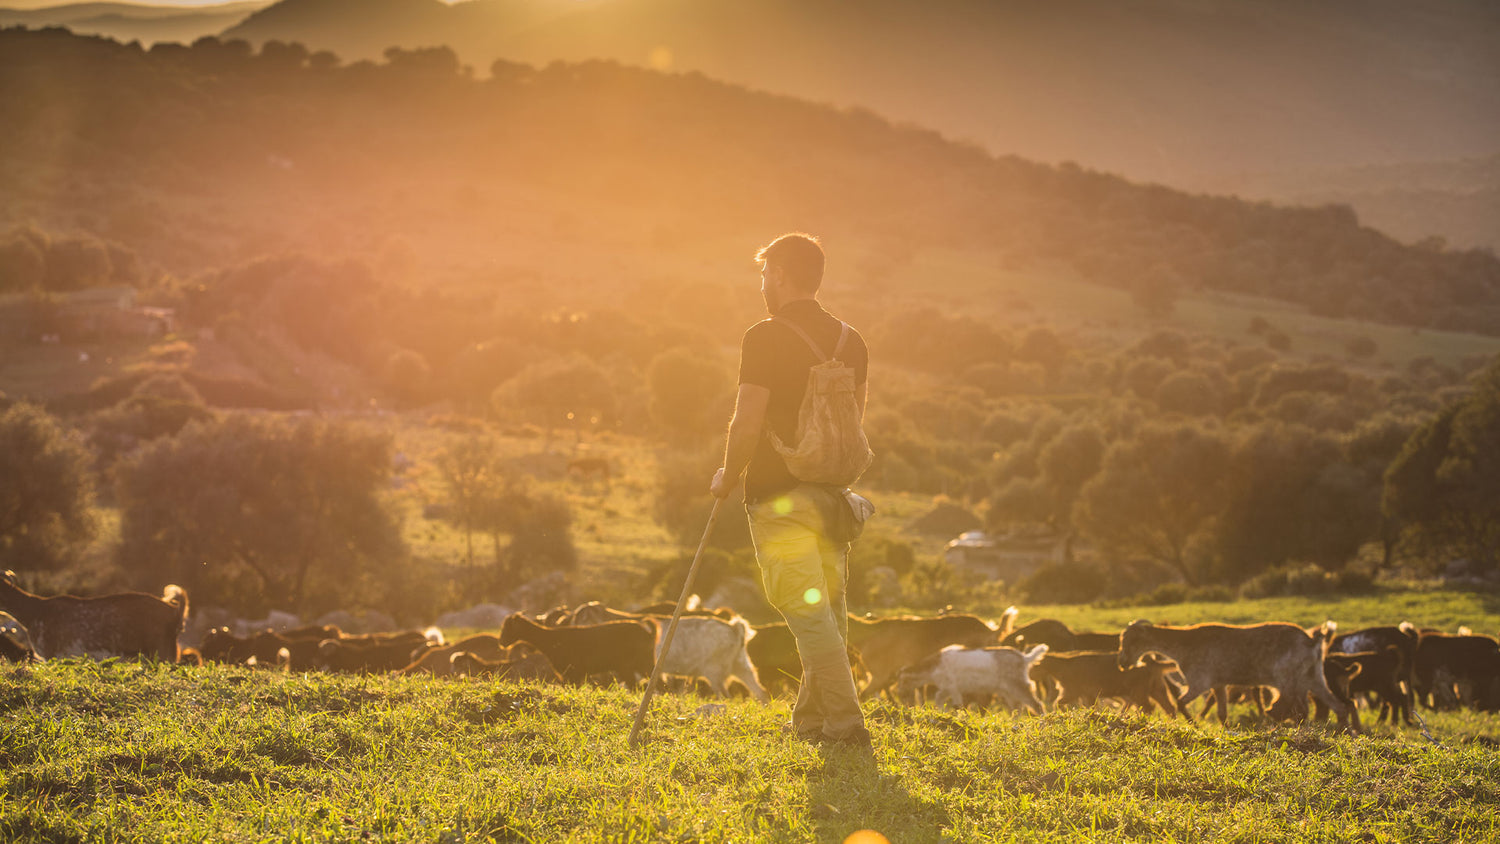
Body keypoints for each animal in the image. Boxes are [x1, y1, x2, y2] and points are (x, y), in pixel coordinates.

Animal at [894, 647, 1050, 713]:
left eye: (901, 681)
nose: (900, 694)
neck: (934, 666)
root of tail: (1024, 658)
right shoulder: (946, 687)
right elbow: (939, 698)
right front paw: (942, 712)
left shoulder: (953, 686)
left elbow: (957, 704)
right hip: (1007, 690)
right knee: (1017, 707)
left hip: (1018, 684)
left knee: (1036, 704)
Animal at [1116, 620, 1350, 734]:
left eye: (1129, 640)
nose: (1122, 663)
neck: (1183, 643)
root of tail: (1312, 640)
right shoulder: (1218, 684)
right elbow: (1221, 713)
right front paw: (1226, 729)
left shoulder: (1200, 682)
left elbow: (1180, 702)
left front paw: (1194, 724)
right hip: (1314, 677)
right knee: (1337, 706)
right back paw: (1341, 731)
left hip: (1288, 680)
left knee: (1301, 709)